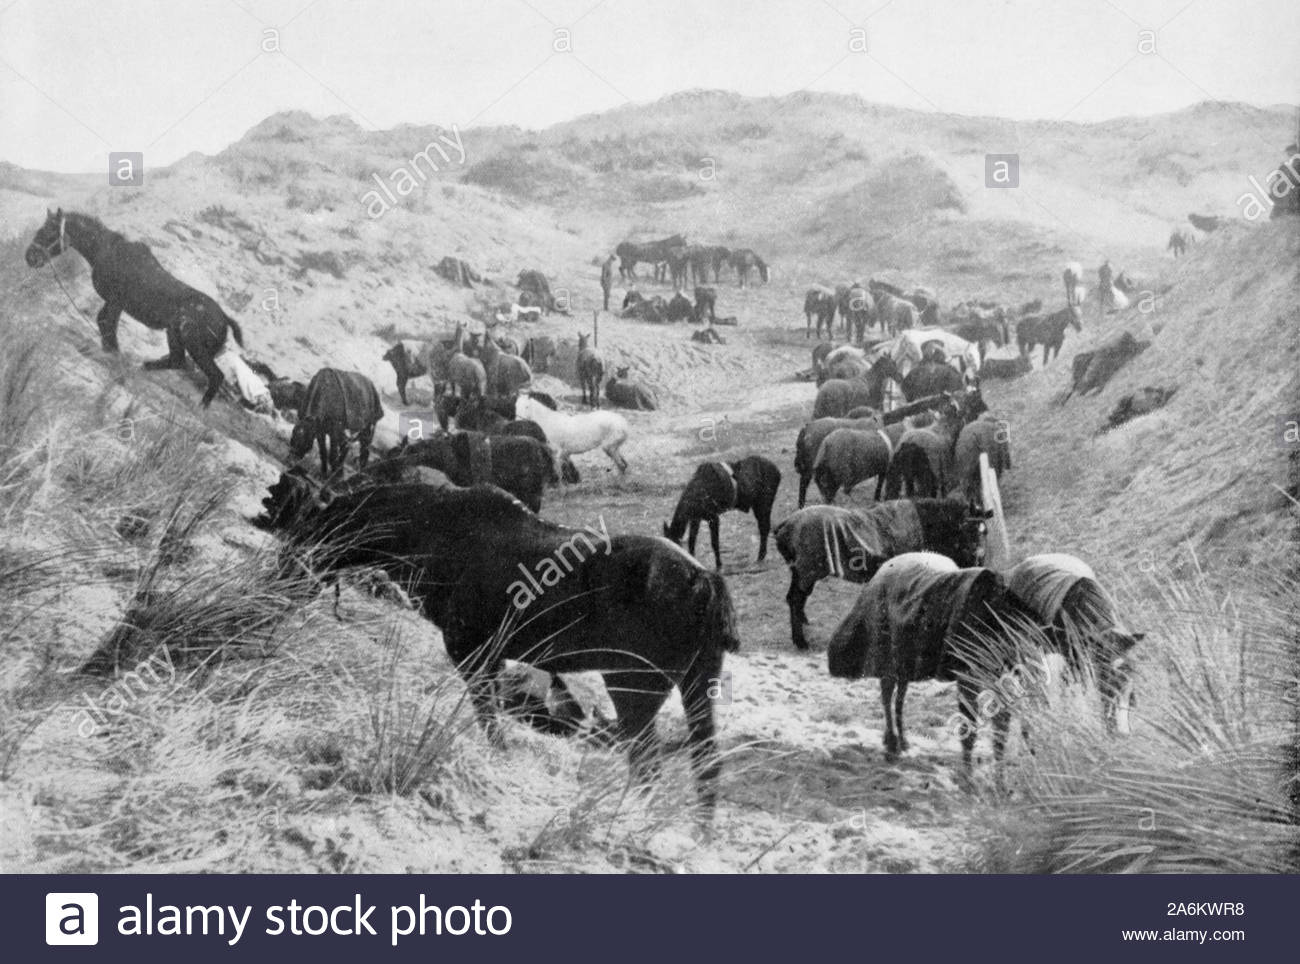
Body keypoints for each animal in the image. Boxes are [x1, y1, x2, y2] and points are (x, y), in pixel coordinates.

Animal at [769, 501, 982, 652]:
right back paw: (801, 641)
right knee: (795, 599)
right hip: (807, 572)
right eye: (966, 528)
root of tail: (785, 525)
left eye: (984, 530)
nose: (978, 558)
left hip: (799, 572)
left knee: (794, 599)